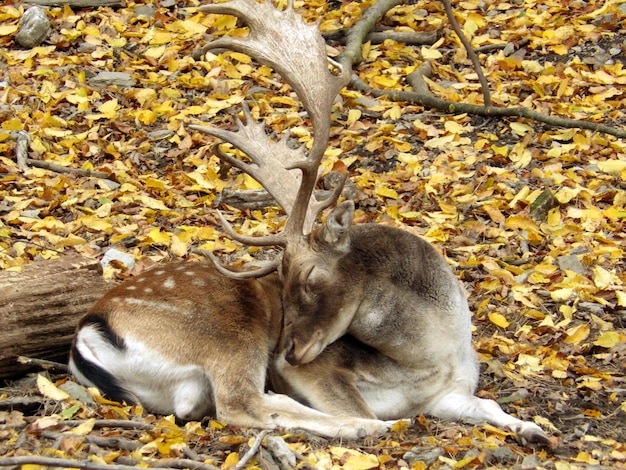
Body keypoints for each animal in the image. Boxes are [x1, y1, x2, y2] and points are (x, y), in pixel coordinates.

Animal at [69, 0, 544, 444]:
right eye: (284, 279)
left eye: (311, 275)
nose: (289, 350)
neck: (434, 356)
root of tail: (88, 336)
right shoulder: (321, 371)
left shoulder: (451, 392)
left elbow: (487, 404)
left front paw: (534, 428)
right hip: (226, 336)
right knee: (242, 403)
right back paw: (366, 427)